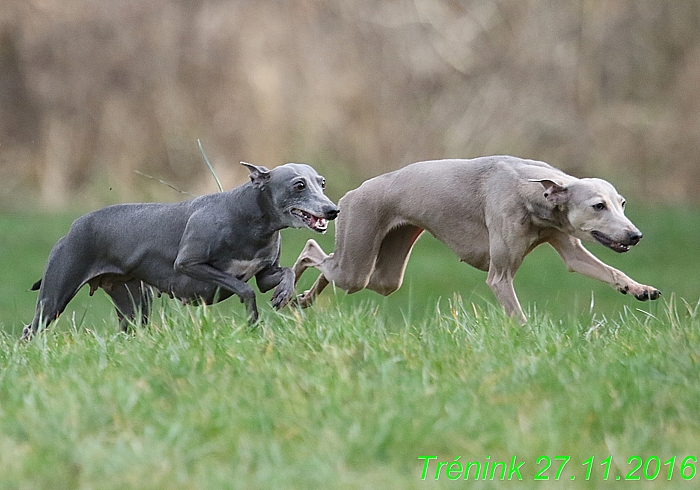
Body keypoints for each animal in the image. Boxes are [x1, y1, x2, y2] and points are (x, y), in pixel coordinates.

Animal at [28, 163, 340, 338]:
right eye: (298, 185)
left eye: (322, 182)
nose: (332, 210)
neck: (249, 218)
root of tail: (73, 228)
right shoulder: (191, 265)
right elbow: (245, 290)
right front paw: (252, 321)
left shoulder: (264, 273)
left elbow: (282, 274)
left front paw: (283, 294)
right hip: (54, 299)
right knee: (30, 330)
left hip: (133, 303)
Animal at [292, 156, 660, 322]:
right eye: (598, 206)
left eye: (622, 203)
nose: (636, 236)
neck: (534, 192)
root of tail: (353, 192)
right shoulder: (499, 276)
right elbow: (517, 314)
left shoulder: (568, 247)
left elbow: (609, 271)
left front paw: (639, 288)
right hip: (357, 256)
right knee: (311, 250)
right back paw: (291, 289)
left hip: (383, 274)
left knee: (331, 268)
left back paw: (303, 298)